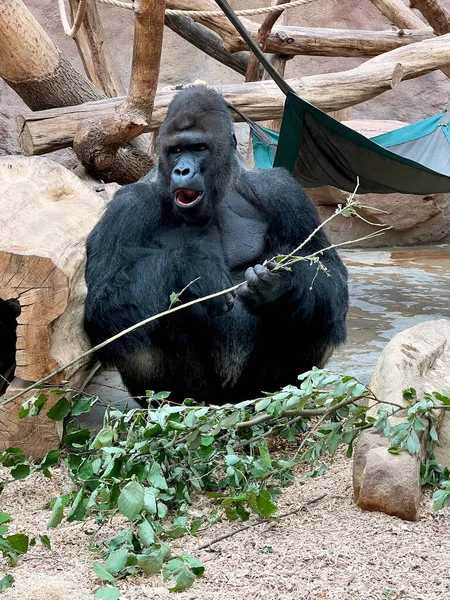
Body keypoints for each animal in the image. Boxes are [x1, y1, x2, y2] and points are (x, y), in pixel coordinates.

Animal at [84, 85, 348, 404]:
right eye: (176, 150)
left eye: (199, 148)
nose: (182, 171)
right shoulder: (128, 206)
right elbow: (104, 299)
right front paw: (194, 268)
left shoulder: (283, 191)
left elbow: (327, 270)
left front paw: (280, 286)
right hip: (199, 398)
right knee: (137, 321)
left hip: (248, 393)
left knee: (322, 314)